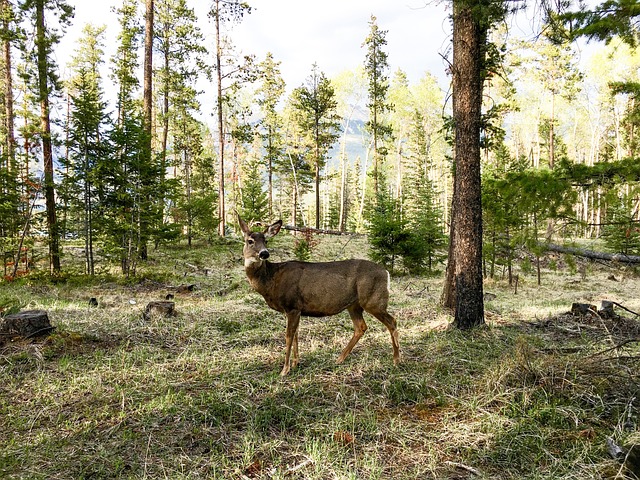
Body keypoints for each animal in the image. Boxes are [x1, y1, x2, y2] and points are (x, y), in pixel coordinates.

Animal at [239, 216, 400, 376]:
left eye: (266, 240)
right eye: (250, 241)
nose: (264, 253)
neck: (271, 280)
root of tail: (386, 272)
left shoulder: (292, 305)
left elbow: (289, 336)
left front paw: (285, 370)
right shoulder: (295, 309)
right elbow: (296, 334)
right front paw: (296, 363)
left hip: (373, 300)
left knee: (392, 322)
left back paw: (396, 360)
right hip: (354, 305)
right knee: (361, 327)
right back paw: (339, 359)